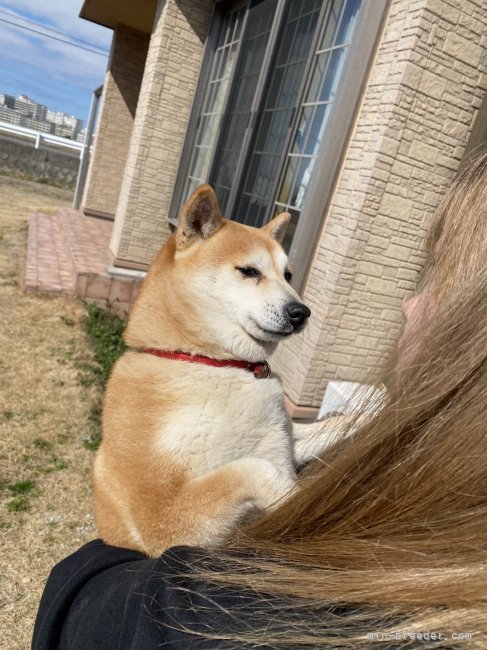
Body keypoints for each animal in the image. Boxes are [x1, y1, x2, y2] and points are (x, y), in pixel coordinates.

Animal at [94, 185, 332, 556]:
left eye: (288, 275)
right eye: (249, 271)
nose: (301, 312)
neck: (214, 363)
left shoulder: (283, 438)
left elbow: (331, 426)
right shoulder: (159, 517)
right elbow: (251, 469)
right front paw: (295, 499)